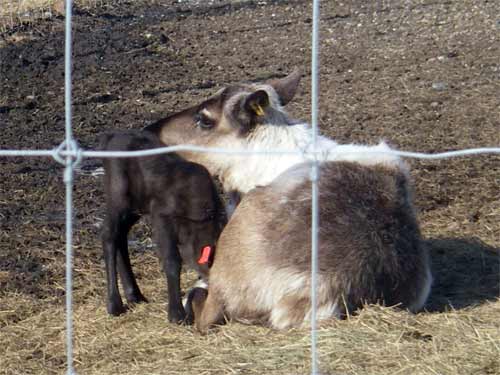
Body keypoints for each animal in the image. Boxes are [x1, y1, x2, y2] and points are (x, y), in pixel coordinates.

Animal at [99, 131, 223, 324]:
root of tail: (110, 138)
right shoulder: (162, 218)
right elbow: (172, 260)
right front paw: (176, 314)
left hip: (135, 207)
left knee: (121, 235)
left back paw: (135, 295)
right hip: (118, 196)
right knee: (109, 234)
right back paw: (114, 304)